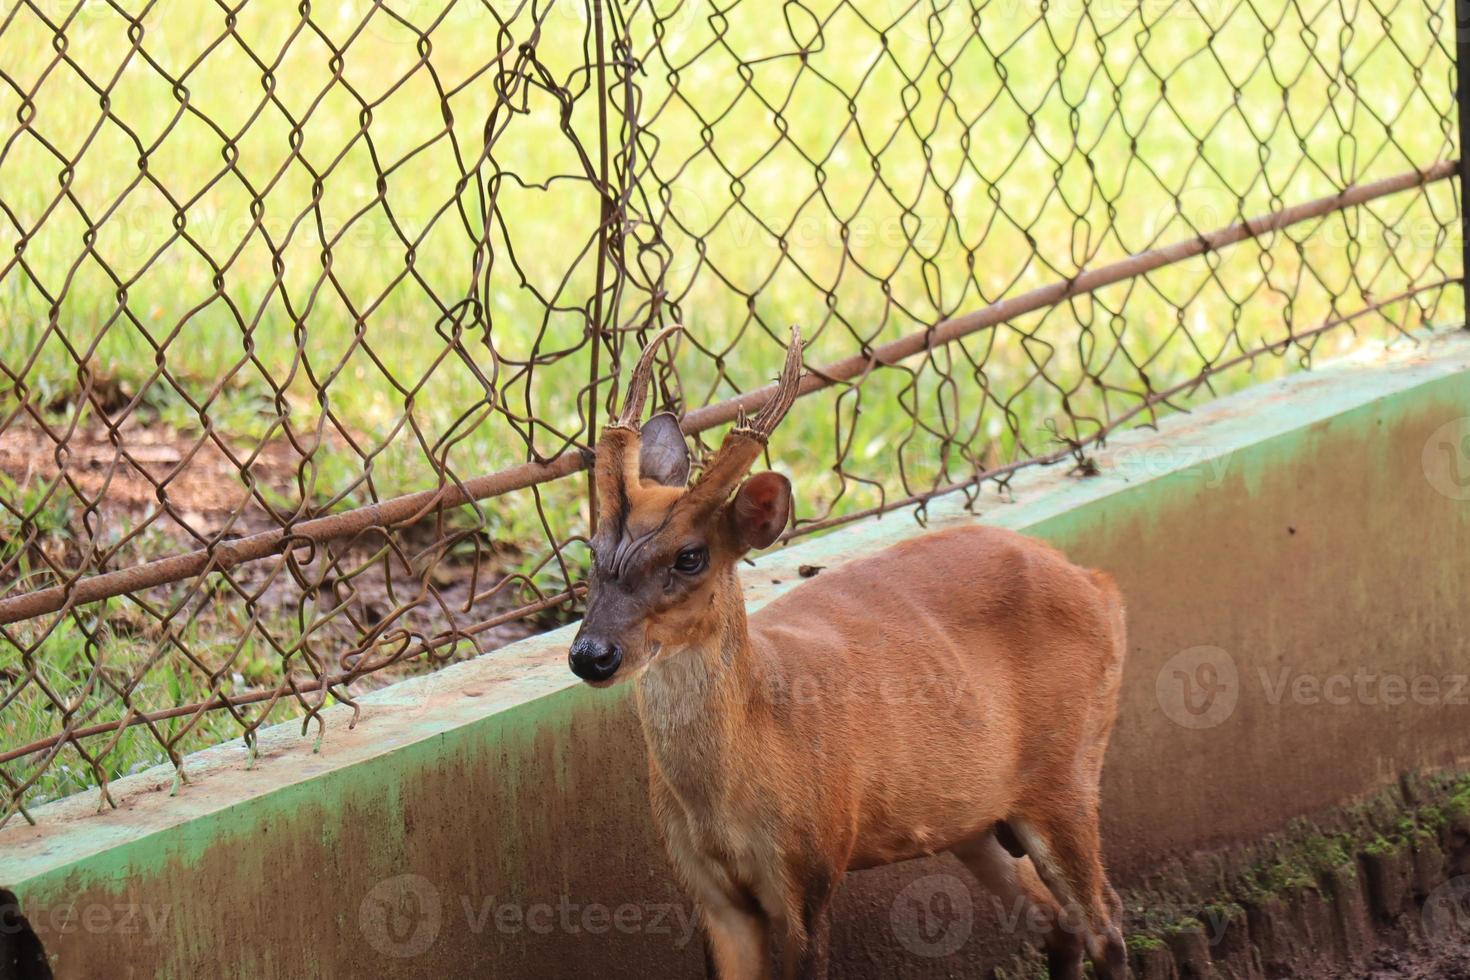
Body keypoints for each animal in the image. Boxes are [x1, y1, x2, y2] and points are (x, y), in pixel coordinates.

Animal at [567, 326, 1128, 975]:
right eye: (591, 546)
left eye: (690, 556)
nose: (592, 655)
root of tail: (1099, 583)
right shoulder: (708, 892)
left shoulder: (809, 871)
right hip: (973, 819)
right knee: (1057, 921)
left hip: (1067, 768)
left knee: (1105, 921)